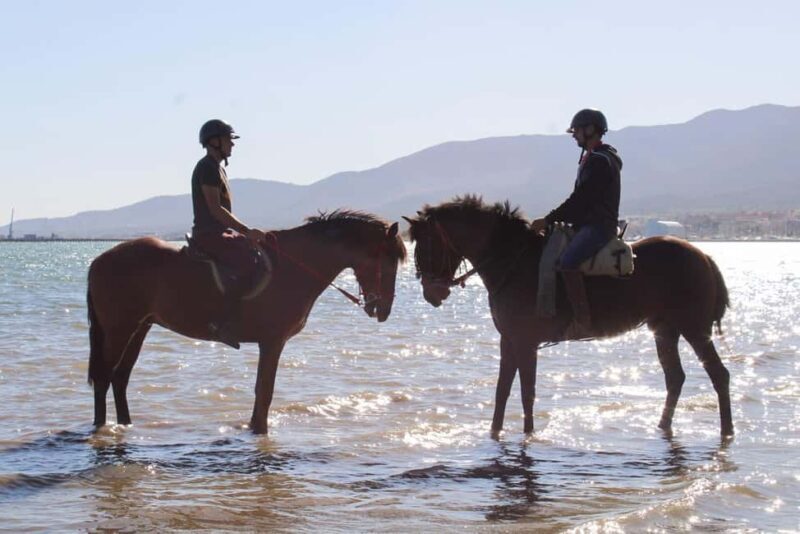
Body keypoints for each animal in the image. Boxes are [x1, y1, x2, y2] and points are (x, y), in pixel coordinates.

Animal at [87, 211, 406, 434]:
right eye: (389, 262)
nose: (384, 310)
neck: (294, 266)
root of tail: (98, 260)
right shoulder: (273, 341)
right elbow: (265, 391)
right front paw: (260, 431)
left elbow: (261, 390)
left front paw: (254, 428)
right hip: (119, 329)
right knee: (104, 377)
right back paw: (101, 428)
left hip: (140, 327)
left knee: (120, 378)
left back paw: (126, 425)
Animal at [404, 195, 733, 437]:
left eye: (428, 244)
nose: (431, 293)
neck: (512, 262)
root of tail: (703, 256)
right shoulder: (508, 341)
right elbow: (502, 391)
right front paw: (495, 433)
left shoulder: (525, 342)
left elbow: (526, 392)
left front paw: (529, 434)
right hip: (665, 330)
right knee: (675, 378)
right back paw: (663, 427)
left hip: (694, 329)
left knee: (719, 374)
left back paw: (727, 430)